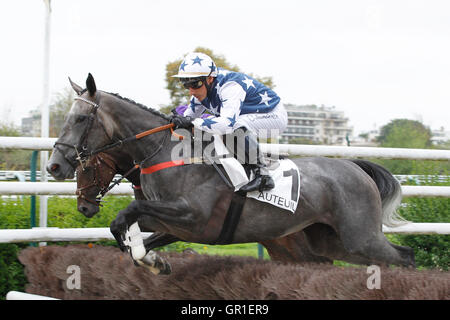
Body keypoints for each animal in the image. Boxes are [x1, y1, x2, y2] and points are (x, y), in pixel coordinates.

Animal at [46, 74, 414, 272]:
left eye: (80, 119)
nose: (54, 166)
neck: (164, 152)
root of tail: (356, 167)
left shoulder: (192, 215)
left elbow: (128, 213)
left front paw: (147, 258)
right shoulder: (173, 224)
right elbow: (123, 225)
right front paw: (150, 259)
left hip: (360, 237)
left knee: (405, 257)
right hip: (328, 241)